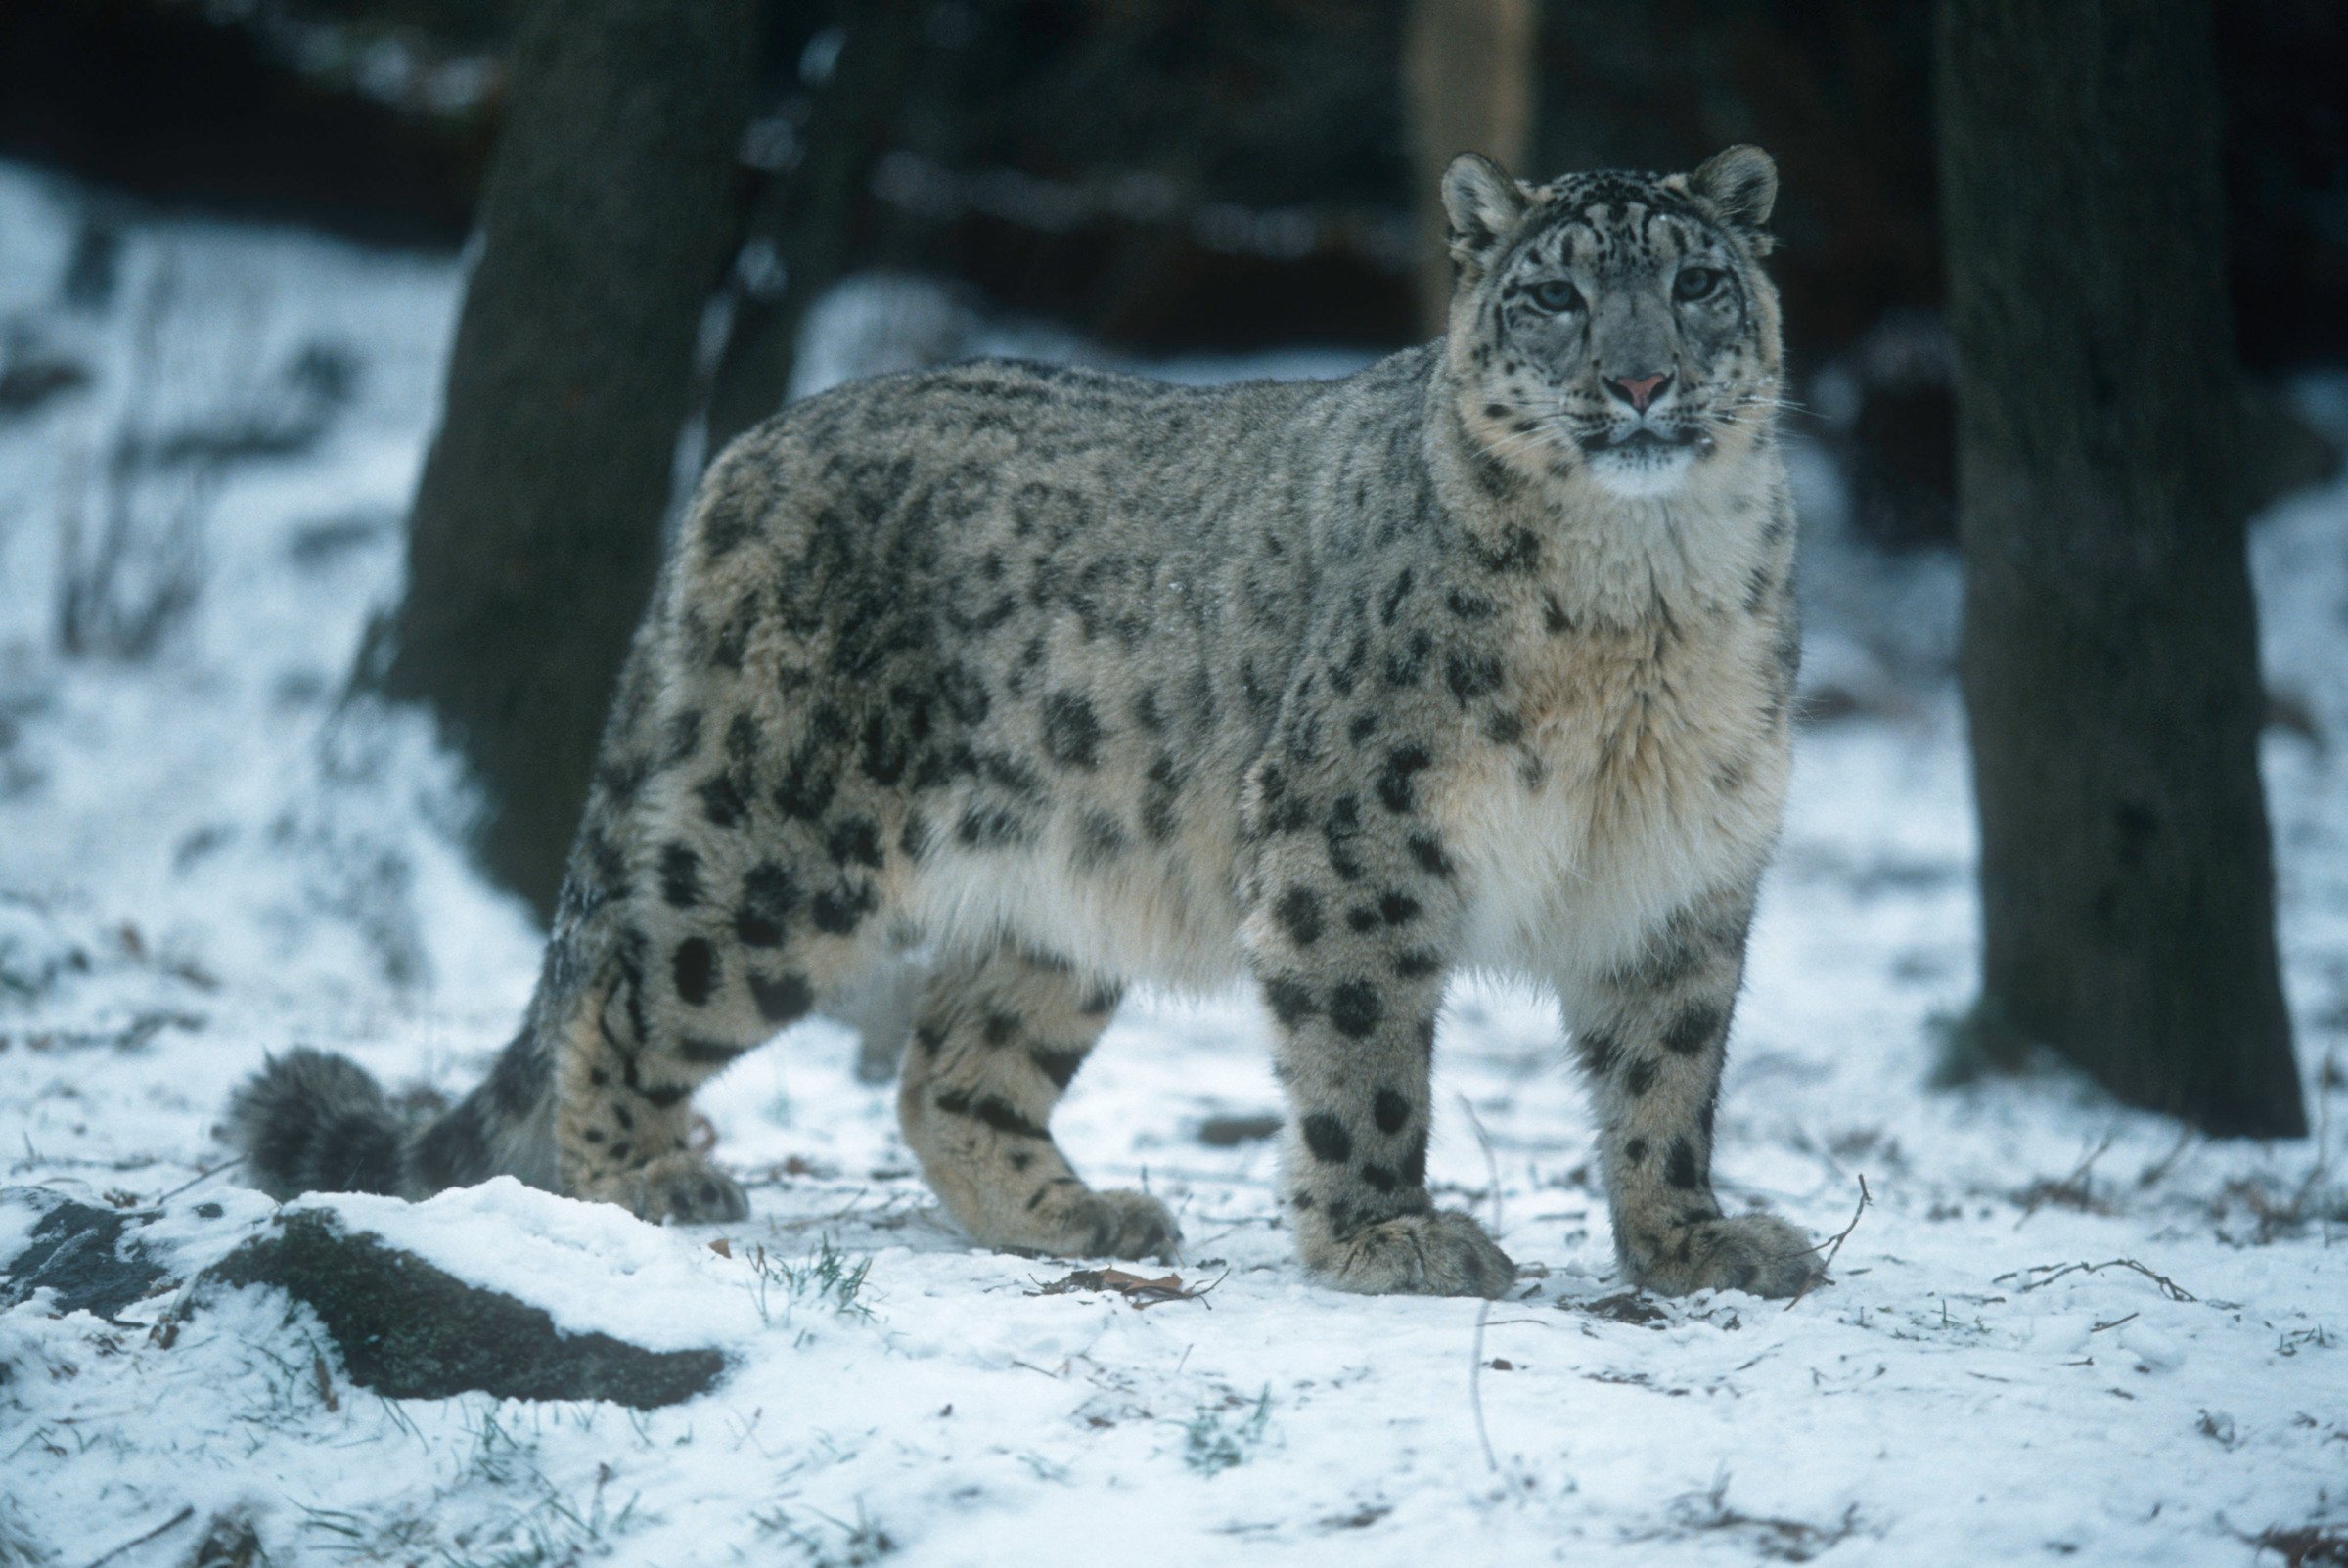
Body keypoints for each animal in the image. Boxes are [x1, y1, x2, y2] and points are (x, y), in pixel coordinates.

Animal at [229, 146, 1822, 1295]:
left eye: (1697, 280)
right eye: (1556, 297)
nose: (1640, 377)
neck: (1645, 604)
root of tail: (746, 451)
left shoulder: (1691, 861)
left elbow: (1670, 1070)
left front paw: (1693, 1240)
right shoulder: (1357, 836)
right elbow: (1365, 1055)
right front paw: (1390, 1235)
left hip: (1064, 889)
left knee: (951, 1067)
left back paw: (1076, 1213)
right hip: (776, 850)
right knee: (628, 992)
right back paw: (644, 1176)